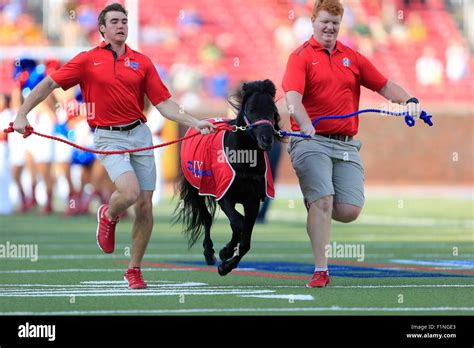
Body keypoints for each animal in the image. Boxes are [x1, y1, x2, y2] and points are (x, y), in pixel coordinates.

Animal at [174, 80, 280, 276]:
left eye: (273, 109)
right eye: (251, 109)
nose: (267, 139)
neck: (244, 158)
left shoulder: (252, 201)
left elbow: (245, 238)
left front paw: (226, 265)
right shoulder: (225, 196)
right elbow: (238, 223)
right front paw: (225, 252)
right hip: (196, 189)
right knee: (207, 218)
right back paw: (209, 252)